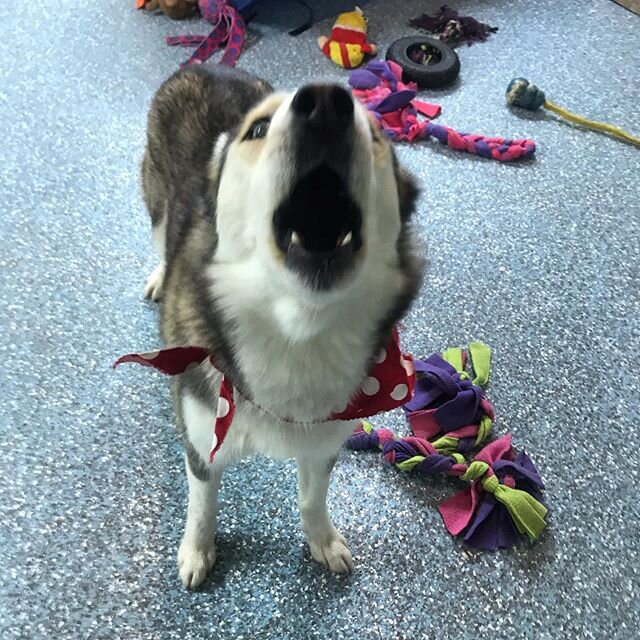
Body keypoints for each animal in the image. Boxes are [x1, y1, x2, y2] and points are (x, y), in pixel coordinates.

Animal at [141, 66, 422, 592]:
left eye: (375, 134)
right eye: (257, 129)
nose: (326, 103)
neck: (299, 329)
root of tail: (209, 65)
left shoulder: (326, 439)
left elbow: (313, 498)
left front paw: (323, 540)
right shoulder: (201, 435)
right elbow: (202, 504)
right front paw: (197, 550)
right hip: (154, 201)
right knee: (160, 235)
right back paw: (158, 275)